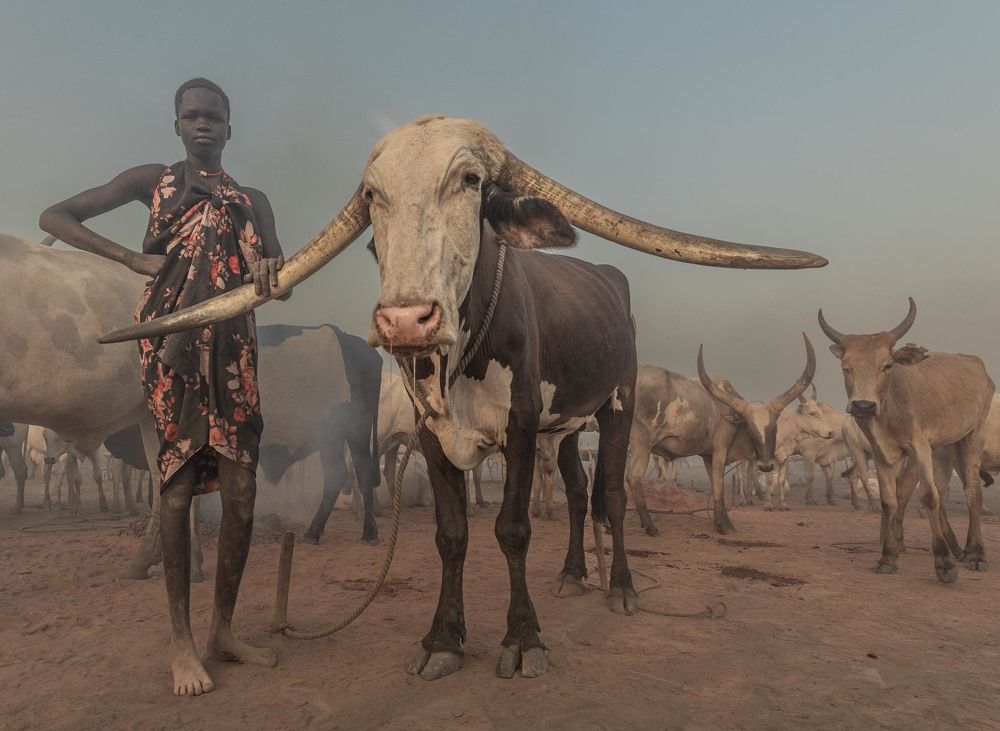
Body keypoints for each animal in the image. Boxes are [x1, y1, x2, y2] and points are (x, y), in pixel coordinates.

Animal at [102, 114, 826, 681]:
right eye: (374, 195)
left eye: (471, 181)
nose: (405, 320)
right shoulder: (437, 434)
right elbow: (451, 535)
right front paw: (444, 638)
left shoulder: (521, 427)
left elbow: (513, 529)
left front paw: (523, 637)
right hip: (565, 430)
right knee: (579, 491)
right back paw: (574, 574)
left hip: (615, 407)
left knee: (612, 497)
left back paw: (619, 586)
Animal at [818, 298, 994, 582]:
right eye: (846, 367)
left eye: (887, 365)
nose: (863, 405)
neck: (891, 408)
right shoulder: (882, 453)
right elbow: (890, 501)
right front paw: (888, 557)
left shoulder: (919, 447)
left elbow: (929, 496)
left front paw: (944, 564)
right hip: (951, 444)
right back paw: (965, 551)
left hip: (973, 437)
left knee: (973, 492)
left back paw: (977, 555)